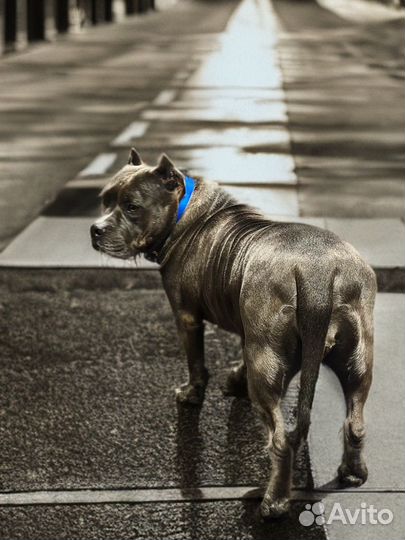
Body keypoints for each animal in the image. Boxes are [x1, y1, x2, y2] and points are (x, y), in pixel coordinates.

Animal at [90, 148, 376, 520]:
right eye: (104, 200)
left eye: (132, 206)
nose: (95, 230)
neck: (184, 212)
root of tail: (318, 274)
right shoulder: (253, 332)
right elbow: (241, 353)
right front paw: (234, 380)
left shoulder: (187, 317)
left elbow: (196, 363)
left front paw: (191, 394)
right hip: (355, 358)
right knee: (355, 419)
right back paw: (353, 473)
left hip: (266, 365)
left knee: (280, 441)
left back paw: (274, 503)